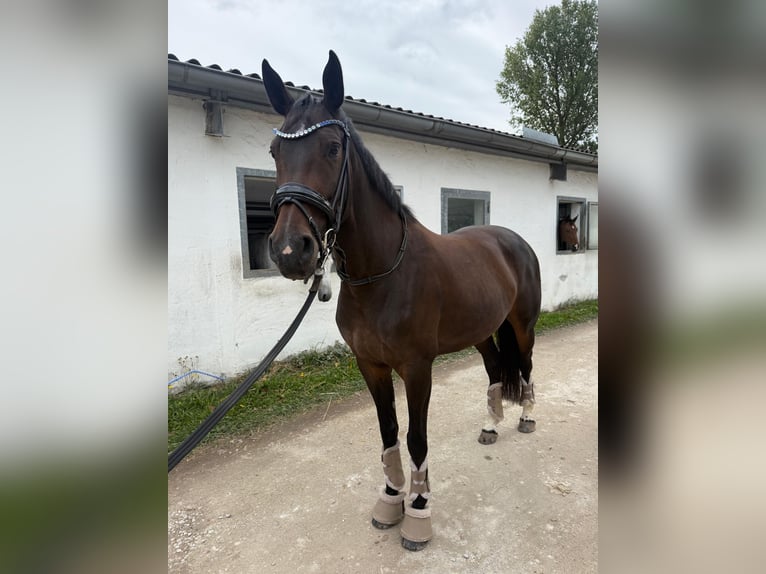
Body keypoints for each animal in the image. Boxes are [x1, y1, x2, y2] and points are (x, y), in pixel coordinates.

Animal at [261, 50, 542, 551]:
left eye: (332, 148)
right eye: (276, 152)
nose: (291, 251)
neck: (381, 276)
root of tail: (514, 240)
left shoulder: (416, 368)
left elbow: (416, 439)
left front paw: (419, 514)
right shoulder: (370, 366)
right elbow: (389, 433)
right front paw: (390, 501)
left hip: (522, 326)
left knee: (525, 367)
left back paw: (526, 417)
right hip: (482, 331)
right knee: (495, 369)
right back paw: (490, 425)